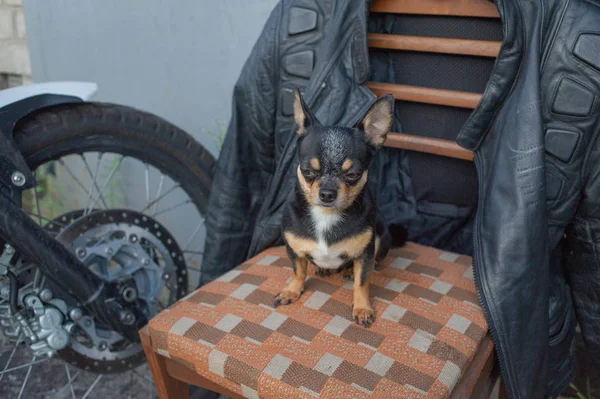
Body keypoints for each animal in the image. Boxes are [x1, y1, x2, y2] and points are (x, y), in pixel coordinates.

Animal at [274, 90, 406, 328]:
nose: (327, 193)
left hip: (380, 236)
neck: (326, 216)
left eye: (353, 174)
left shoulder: (365, 253)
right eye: (307, 171)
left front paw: (362, 308)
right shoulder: (293, 249)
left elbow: (362, 282)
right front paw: (292, 291)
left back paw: (349, 271)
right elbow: (298, 271)